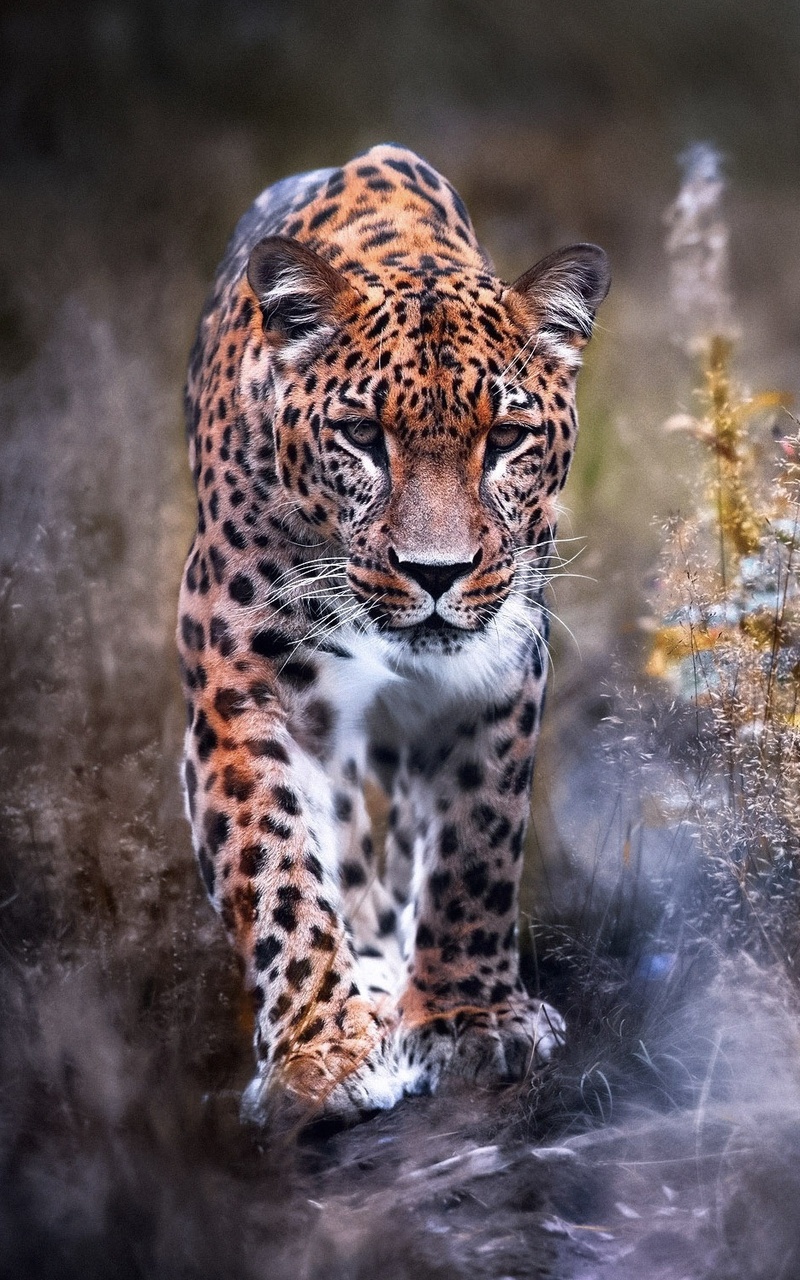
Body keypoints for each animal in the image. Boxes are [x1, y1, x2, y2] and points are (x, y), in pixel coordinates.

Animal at [178, 143, 609, 1125]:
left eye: (507, 438)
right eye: (363, 435)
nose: (437, 573)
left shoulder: (498, 675)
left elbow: (475, 843)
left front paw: (466, 1018)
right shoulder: (241, 691)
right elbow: (277, 868)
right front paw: (320, 1054)